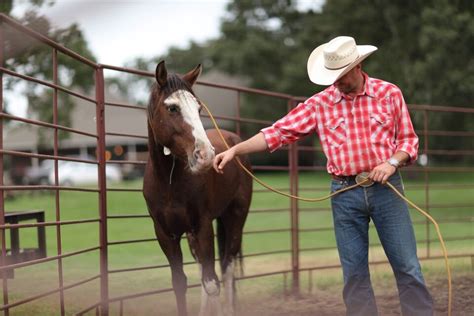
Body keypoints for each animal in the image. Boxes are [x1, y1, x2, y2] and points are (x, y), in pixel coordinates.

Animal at [143, 61, 252, 316]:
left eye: (199, 108)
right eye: (172, 108)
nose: (206, 155)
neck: (169, 182)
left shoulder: (203, 226)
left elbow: (212, 283)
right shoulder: (165, 233)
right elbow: (180, 282)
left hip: (235, 217)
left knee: (227, 267)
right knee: (205, 269)